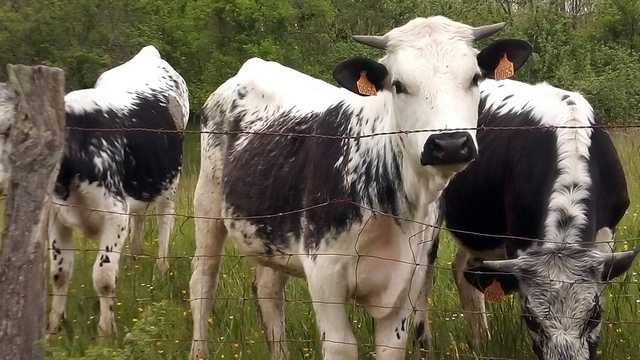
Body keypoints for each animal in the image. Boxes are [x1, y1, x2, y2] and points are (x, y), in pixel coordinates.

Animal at [46, 45, 189, 338]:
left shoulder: (114, 214)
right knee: (140, 217)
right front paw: (55, 328)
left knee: (164, 221)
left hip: (169, 182)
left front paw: (106, 331)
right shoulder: (56, 215)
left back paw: (160, 270)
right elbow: (59, 272)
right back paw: (134, 259)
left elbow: (103, 277)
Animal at [192, 14, 532, 360]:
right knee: (203, 280)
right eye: (398, 85)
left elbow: (391, 347)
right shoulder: (324, 276)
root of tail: (252, 67)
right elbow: (341, 345)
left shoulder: (409, 278)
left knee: (267, 289)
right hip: (207, 201)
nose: (449, 144)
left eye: (475, 78)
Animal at [424, 77, 636, 358]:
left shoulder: (606, 234)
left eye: (594, 315)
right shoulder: (519, 240)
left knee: (463, 271)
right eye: (531, 320)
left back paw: (482, 342)